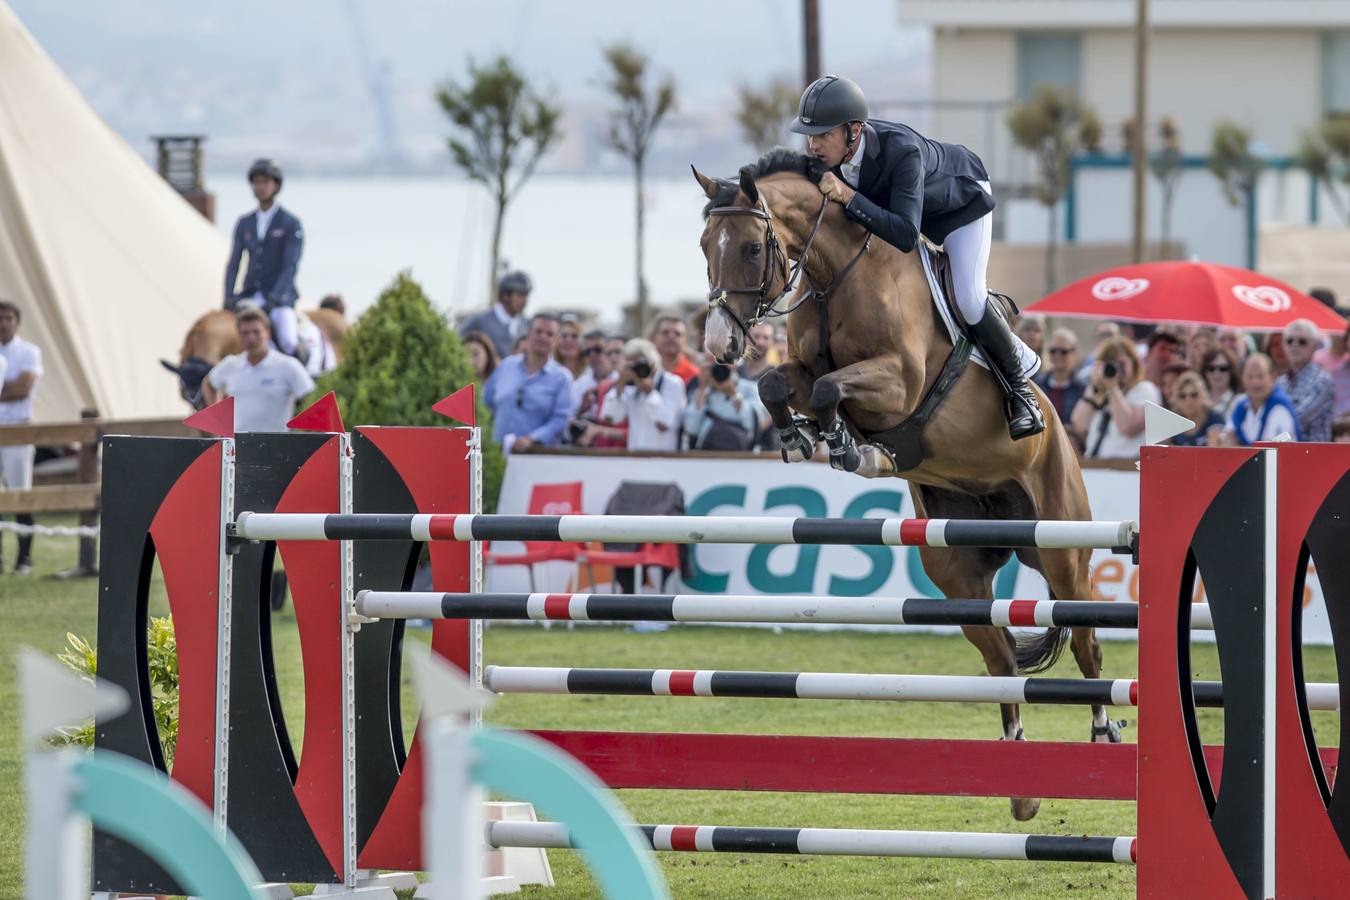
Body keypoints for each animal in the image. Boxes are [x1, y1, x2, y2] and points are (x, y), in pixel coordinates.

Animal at [691, 153, 1112, 825]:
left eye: (753, 247)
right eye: (706, 245)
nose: (719, 345)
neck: (834, 275)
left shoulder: (900, 382)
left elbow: (832, 387)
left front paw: (846, 443)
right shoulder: (805, 368)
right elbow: (782, 384)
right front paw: (806, 438)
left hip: (1062, 548)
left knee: (1088, 643)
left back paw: (1102, 736)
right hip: (958, 572)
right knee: (1000, 660)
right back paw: (1021, 791)